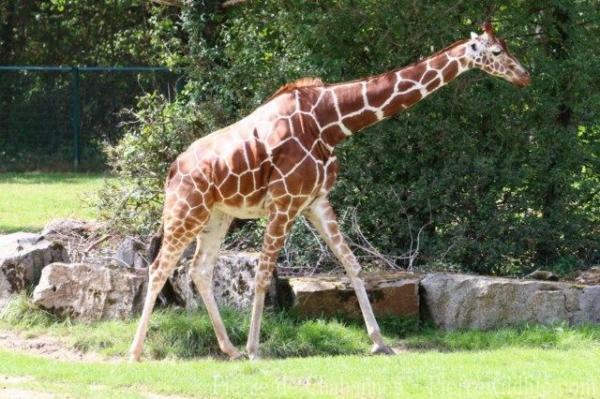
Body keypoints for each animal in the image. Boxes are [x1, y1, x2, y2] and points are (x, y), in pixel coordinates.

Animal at [129, 21, 528, 362]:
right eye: (495, 51)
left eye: (507, 46)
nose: (524, 75)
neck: (329, 123)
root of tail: (173, 169)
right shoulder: (284, 202)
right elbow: (262, 273)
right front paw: (257, 349)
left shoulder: (316, 201)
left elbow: (352, 263)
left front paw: (379, 341)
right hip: (186, 210)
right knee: (159, 267)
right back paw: (138, 351)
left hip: (218, 215)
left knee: (199, 269)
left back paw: (229, 349)